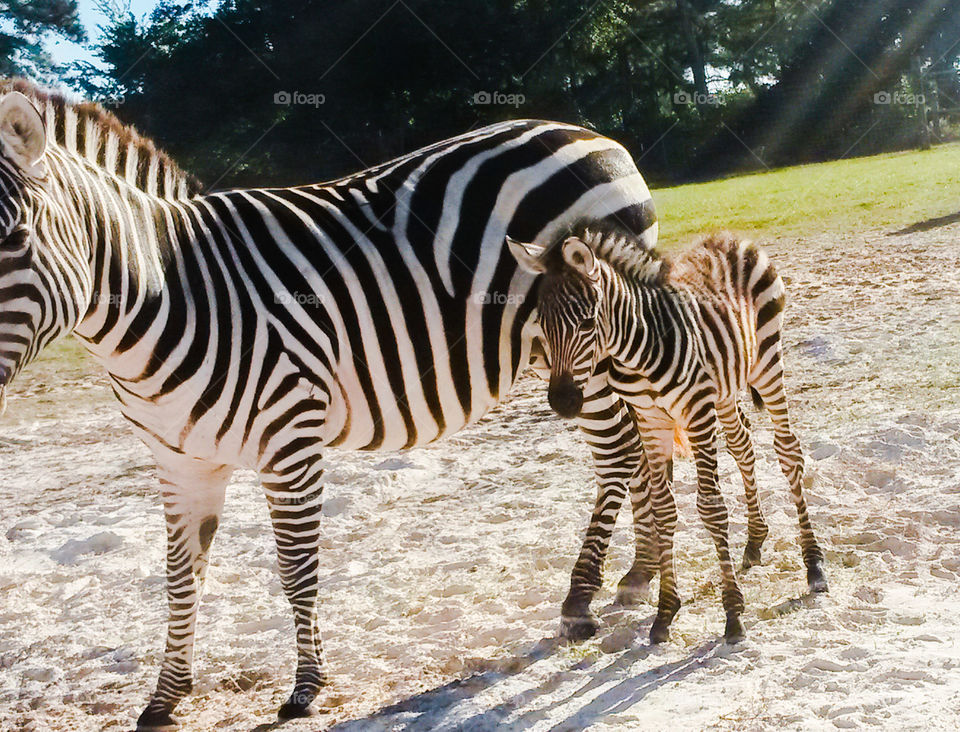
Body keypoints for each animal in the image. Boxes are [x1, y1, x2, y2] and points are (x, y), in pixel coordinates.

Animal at [0, 81, 660, 728]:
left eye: (15, 239)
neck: (167, 298)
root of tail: (586, 133)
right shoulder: (179, 461)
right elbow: (181, 578)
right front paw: (165, 699)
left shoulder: (289, 439)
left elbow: (296, 570)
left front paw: (306, 688)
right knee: (645, 447)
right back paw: (641, 575)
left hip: (593, 349)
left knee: (621, 454)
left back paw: (582, 602)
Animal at [506, 226, 828, 644]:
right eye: (542, 327)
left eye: (587, 323)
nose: (562, 401)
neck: (635, 355)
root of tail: (727, 237)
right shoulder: (650, 420)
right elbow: (663, 510)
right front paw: (665, 612)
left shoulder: (696, 412)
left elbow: (711, 509)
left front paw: (733, 614)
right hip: (725, 387)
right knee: (742, 445)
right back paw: (755, 540)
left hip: (767, 361)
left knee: (788, 452)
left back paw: (815, 566)